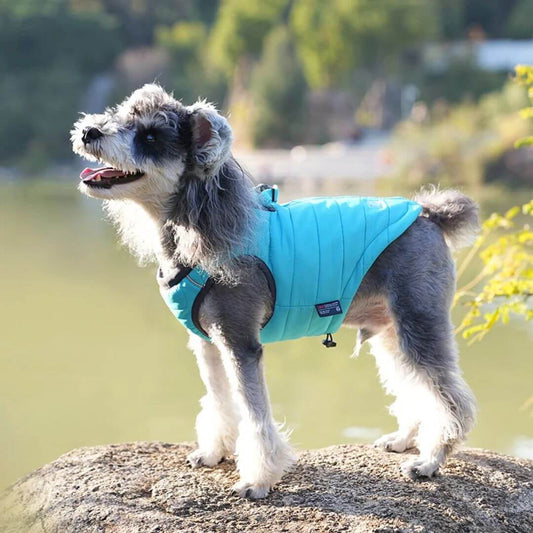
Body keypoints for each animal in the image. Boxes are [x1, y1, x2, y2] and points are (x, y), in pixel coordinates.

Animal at [71, 84, 478, 498]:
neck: (195, 232)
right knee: (414, 388)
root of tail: (428, 214)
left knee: (450, 399)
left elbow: (255, 415)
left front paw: (257, 478)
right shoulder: (208, 344)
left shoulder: (240, 344)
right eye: (122, 115)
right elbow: (219, 400)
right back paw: (404, 439)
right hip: (393, 332)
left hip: (419, 324)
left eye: (151, 136)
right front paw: (213, 452)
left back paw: (430, 461)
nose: (89, 131)